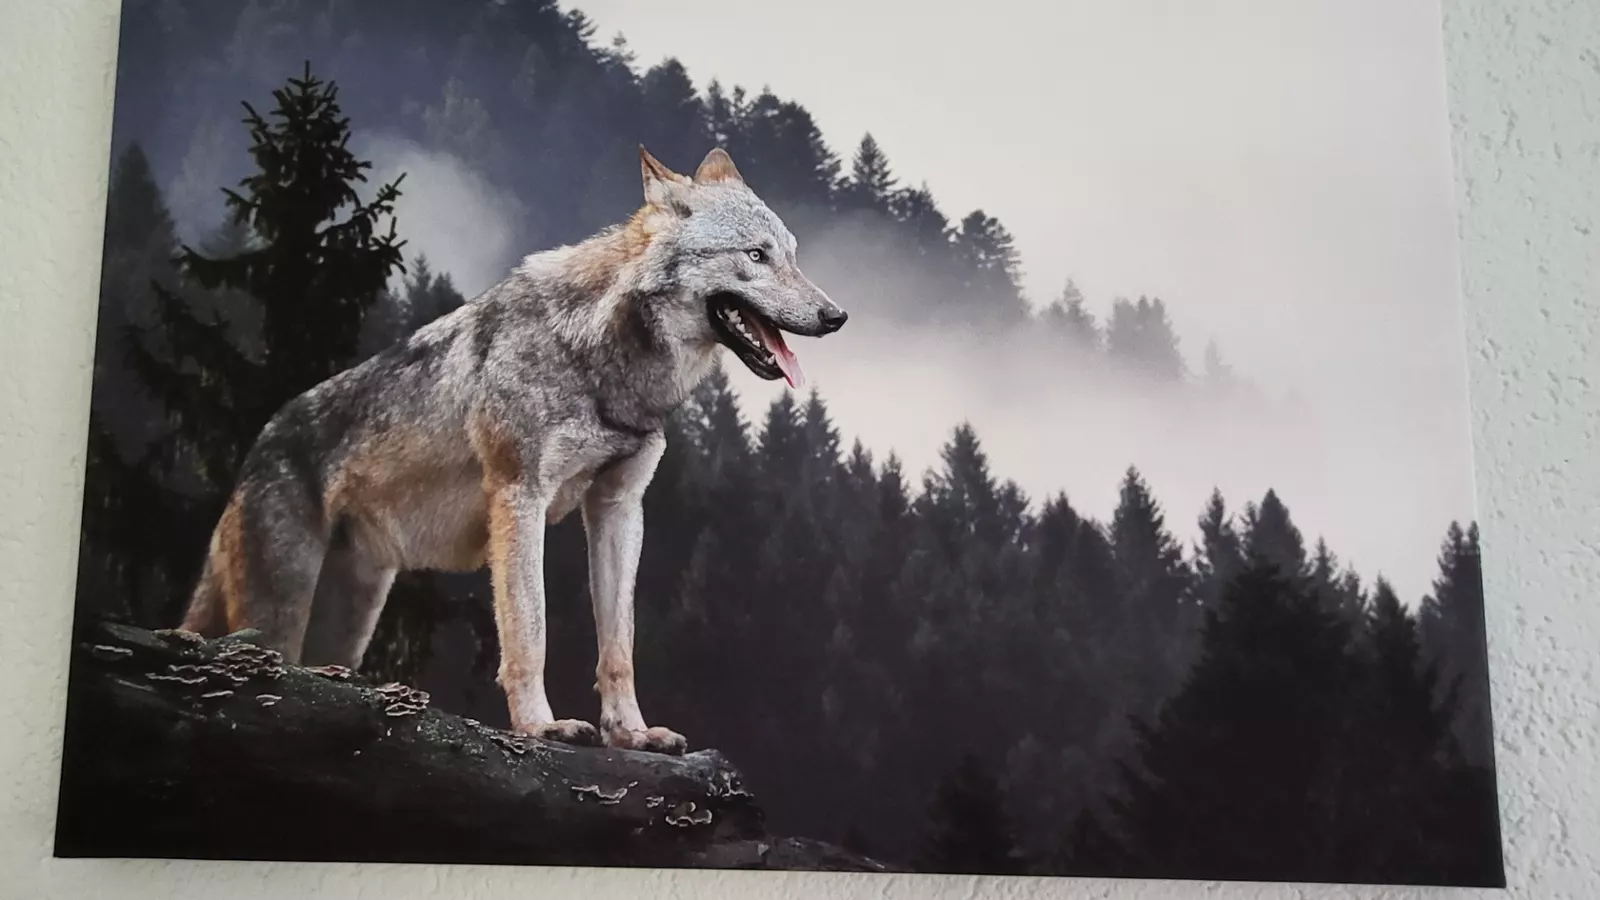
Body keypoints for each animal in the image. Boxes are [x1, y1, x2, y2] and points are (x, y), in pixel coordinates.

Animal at [178, 146, 847, 754]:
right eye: (755, 255)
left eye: (791, 255)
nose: (836, 315)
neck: (602, 360)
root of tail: (258, 446)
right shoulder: (520, 497)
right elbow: (531, 631)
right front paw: (540, 726)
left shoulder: (619, 509)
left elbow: (619, 646)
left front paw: (630, 734)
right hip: (279, 617)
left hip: (350, 621)